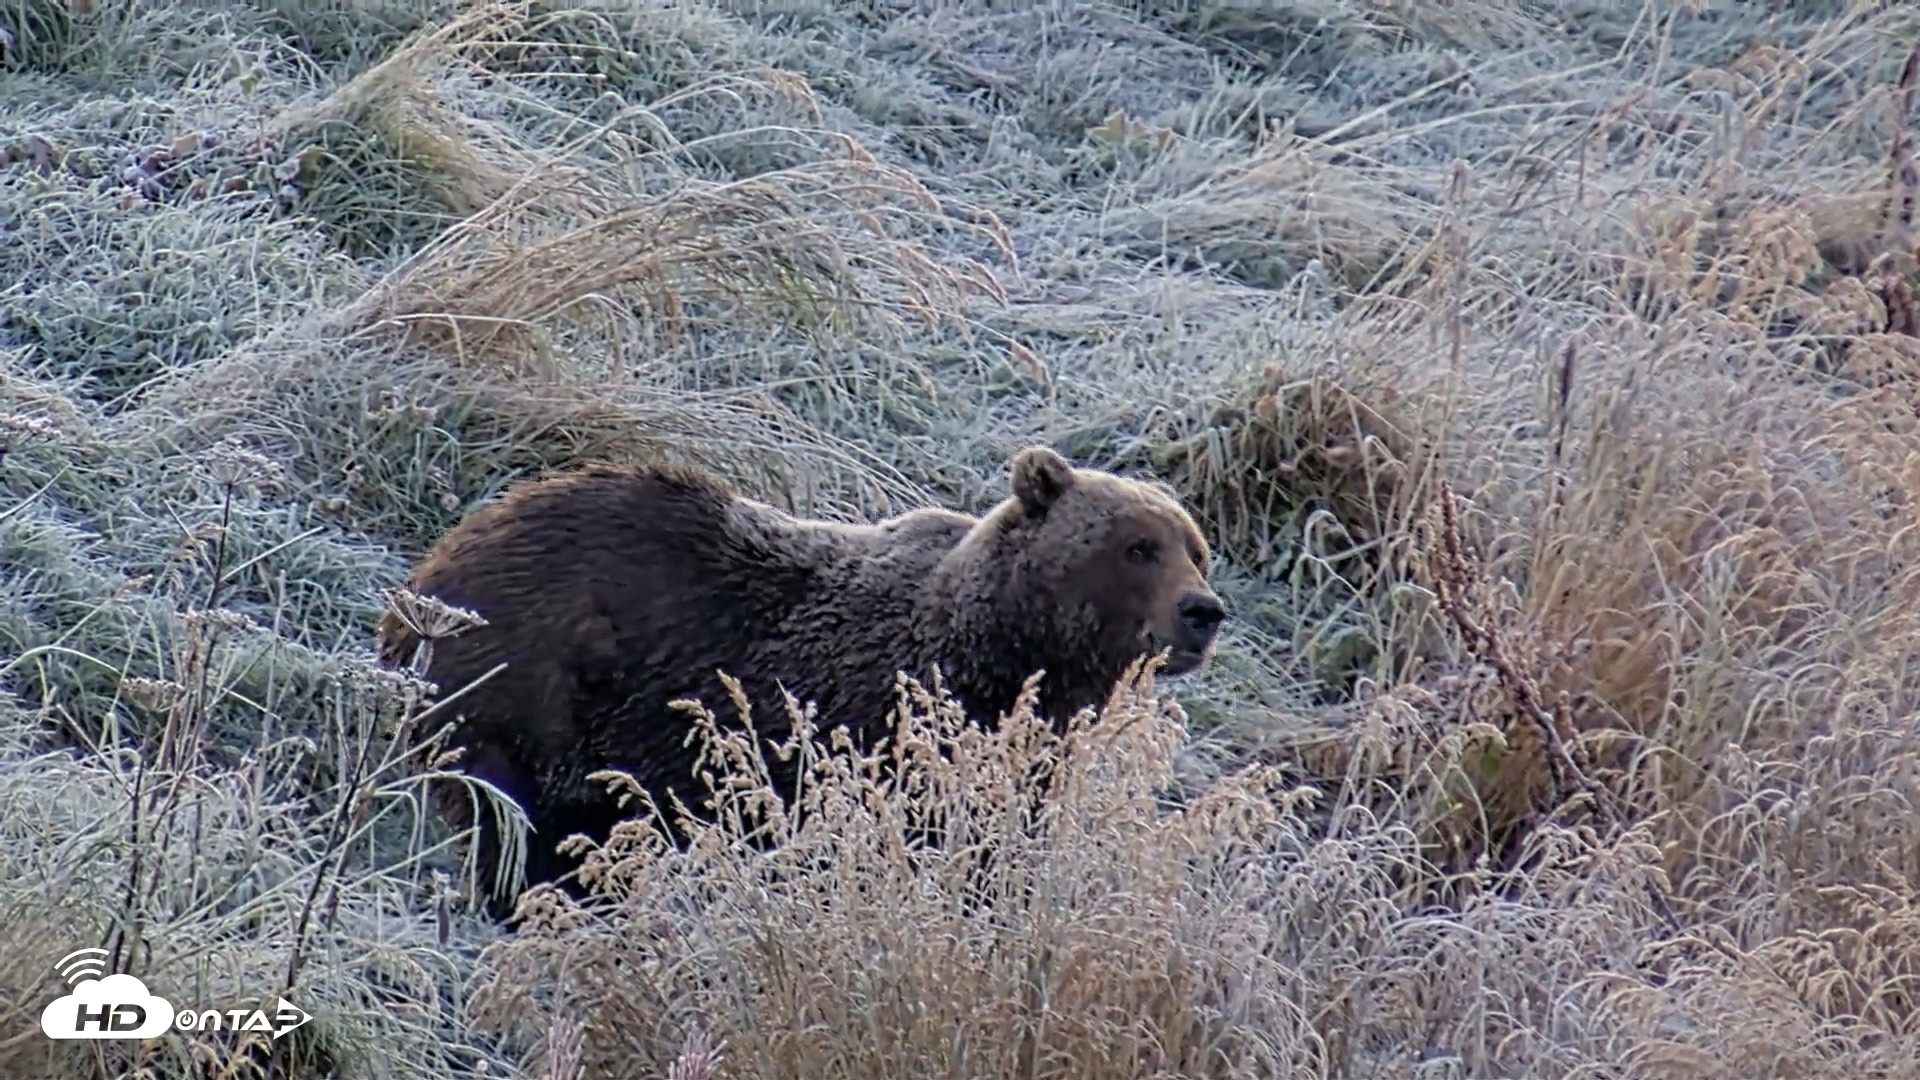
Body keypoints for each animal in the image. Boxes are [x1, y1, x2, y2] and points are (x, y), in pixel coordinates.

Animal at [374, 445, 1227, 919]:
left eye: (1196, 547)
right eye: (1136, 547)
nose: (1203, 612)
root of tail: (430, 570)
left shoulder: (1022, 756)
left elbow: (998, 847)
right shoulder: (881, 726)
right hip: (529, 686)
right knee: (515, 823)